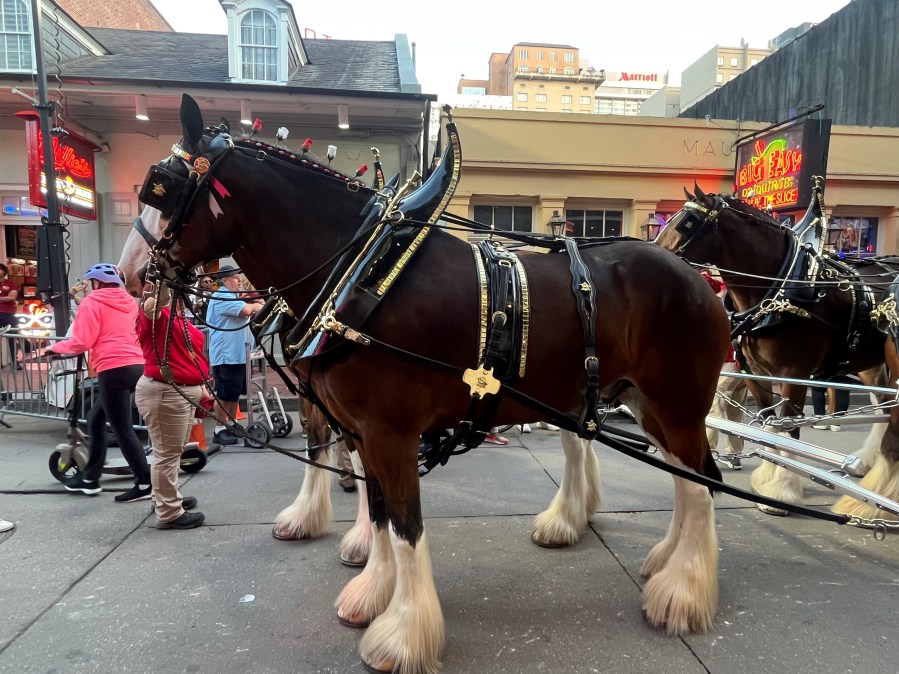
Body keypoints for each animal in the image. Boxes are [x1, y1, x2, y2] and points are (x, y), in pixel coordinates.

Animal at [126, 94, 732, 672]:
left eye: (160, 187)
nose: (131, 274)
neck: (363, 273)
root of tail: (697, 277)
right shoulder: (358, 428)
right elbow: (378, 510)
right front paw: (372, 589)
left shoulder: (390, 432)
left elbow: (406, 525)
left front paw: (402, 634)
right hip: (639, 402)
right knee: (684, 478)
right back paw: (660, 560)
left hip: (675, 403)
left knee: (700, 482)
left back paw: (681, 592)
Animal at [652, 184, 899, 520]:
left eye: (687, 223)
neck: (781, 289)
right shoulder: (756, 374)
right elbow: (768, 425)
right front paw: (768, 481)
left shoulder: (795, 375)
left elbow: (786, 428)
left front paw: (781, 489)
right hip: (871, 364)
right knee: (882, 409)